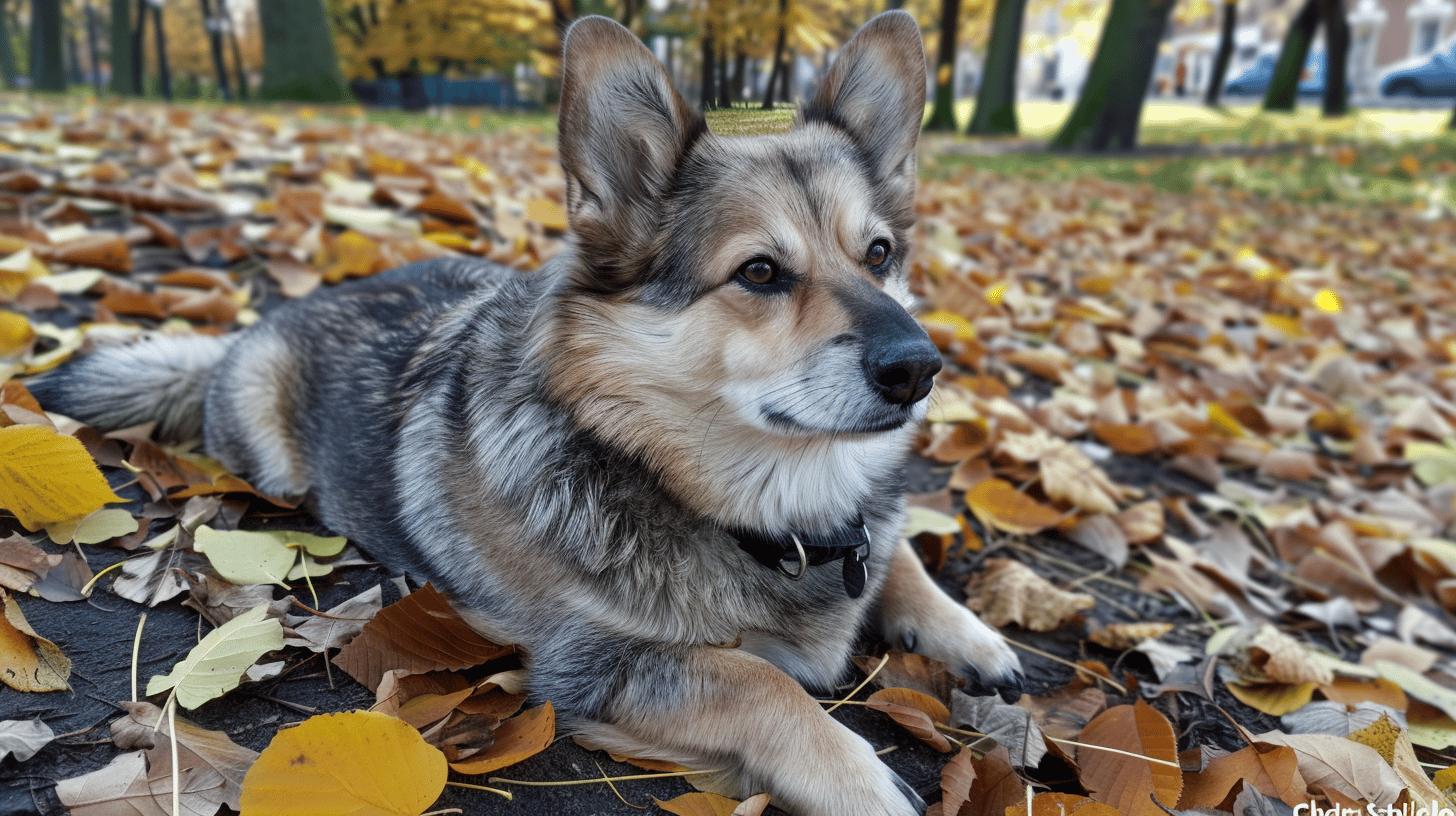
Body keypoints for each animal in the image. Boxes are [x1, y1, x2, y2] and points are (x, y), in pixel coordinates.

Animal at [25, 12, 1025, 816]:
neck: (762, 514)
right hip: (271, 454)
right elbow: (759, 683)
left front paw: (972, 635)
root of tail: (266, 320)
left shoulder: (859, 527)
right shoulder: (594, 665)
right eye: (760, 272)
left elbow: (902, 558)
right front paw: (858, 778)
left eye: (881, 254)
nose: (919, 368)